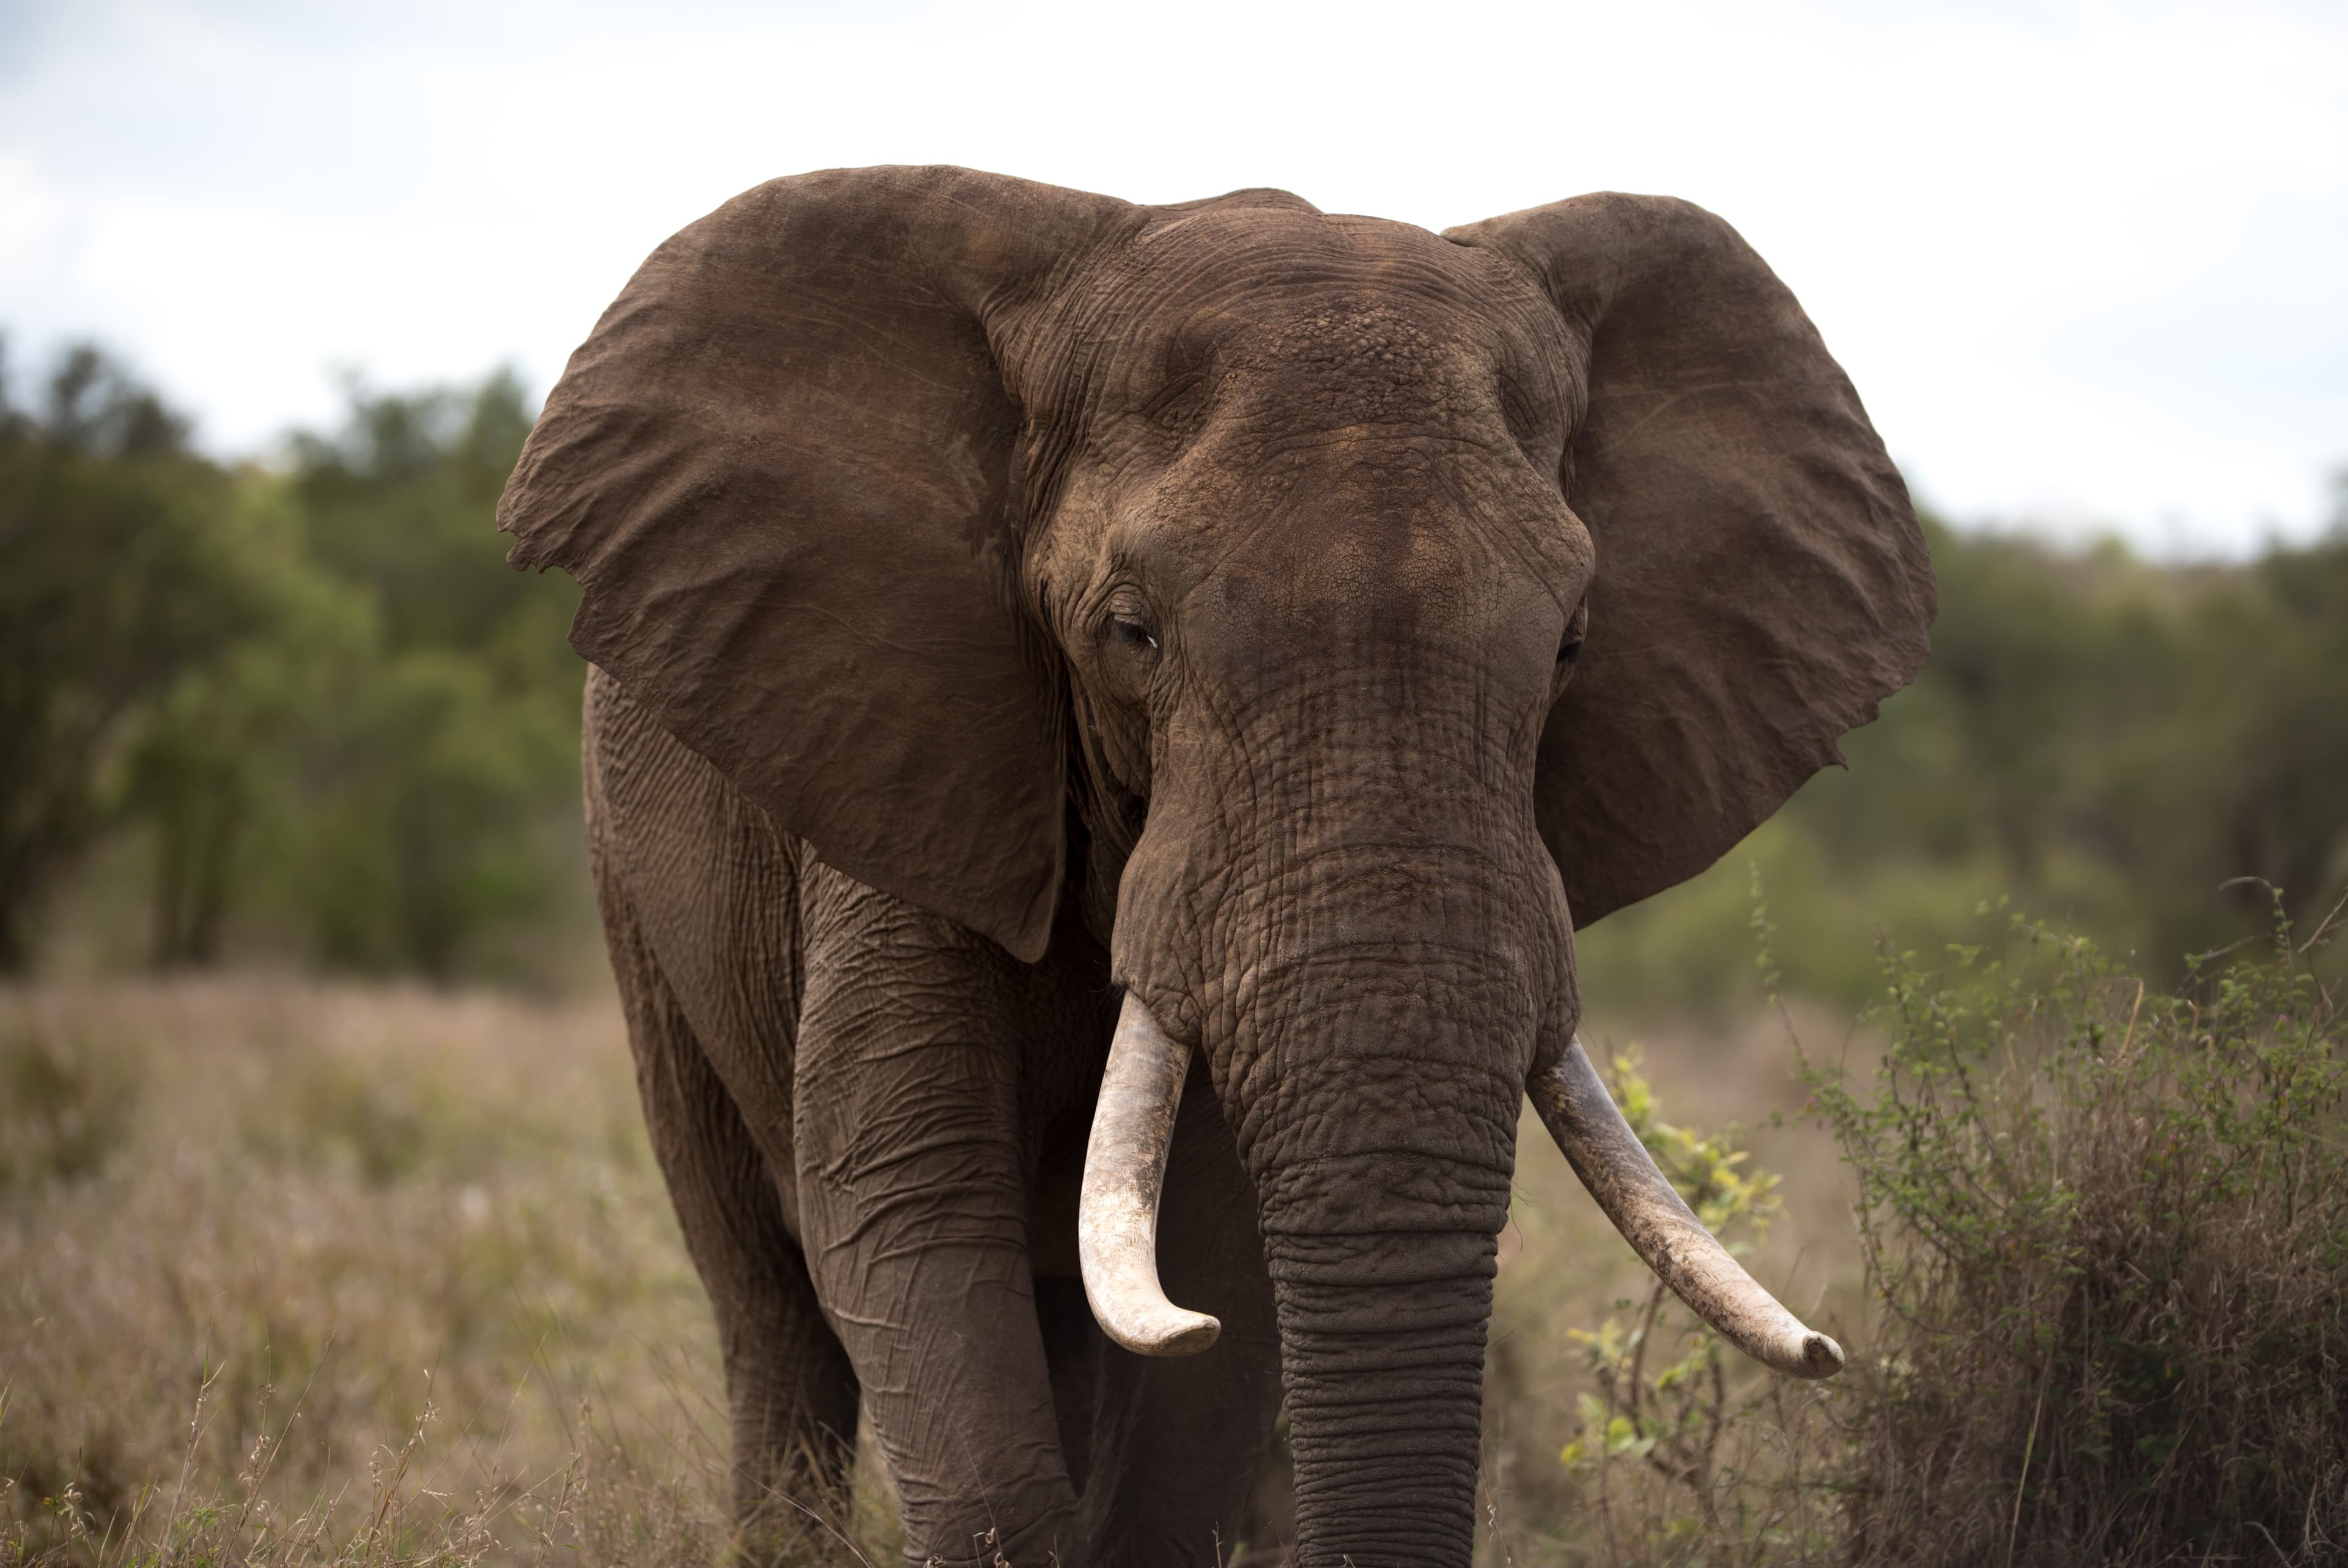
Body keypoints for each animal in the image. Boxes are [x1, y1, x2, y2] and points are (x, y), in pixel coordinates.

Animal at [497, 164, 1934, 1568]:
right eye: (1131, 633)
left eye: (1575, 645)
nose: (1828, 1351)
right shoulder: (902, 750)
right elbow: (908, 1207)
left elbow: (1219, 1267)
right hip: (639, 895)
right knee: (767, 1301)